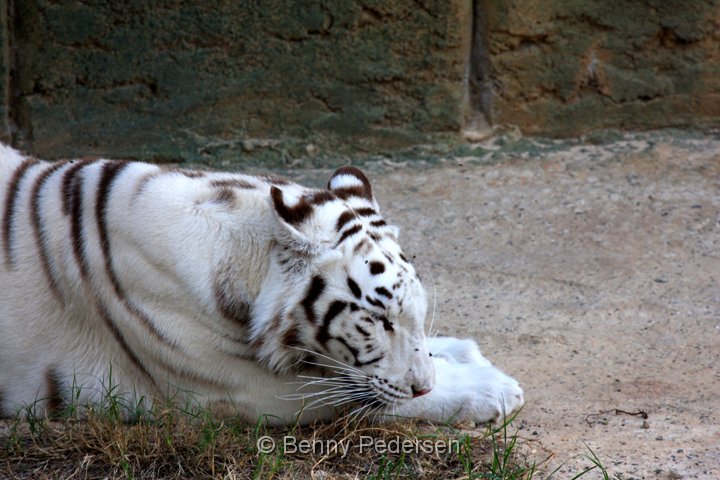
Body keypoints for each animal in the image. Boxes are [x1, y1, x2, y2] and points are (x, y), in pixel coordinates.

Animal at [0, 144, 520, 426]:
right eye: (377, 321)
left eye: (413, 314)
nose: (423, 385)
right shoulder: (244, 389)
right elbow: (363, 395)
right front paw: (492, 388)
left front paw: (463, 353)